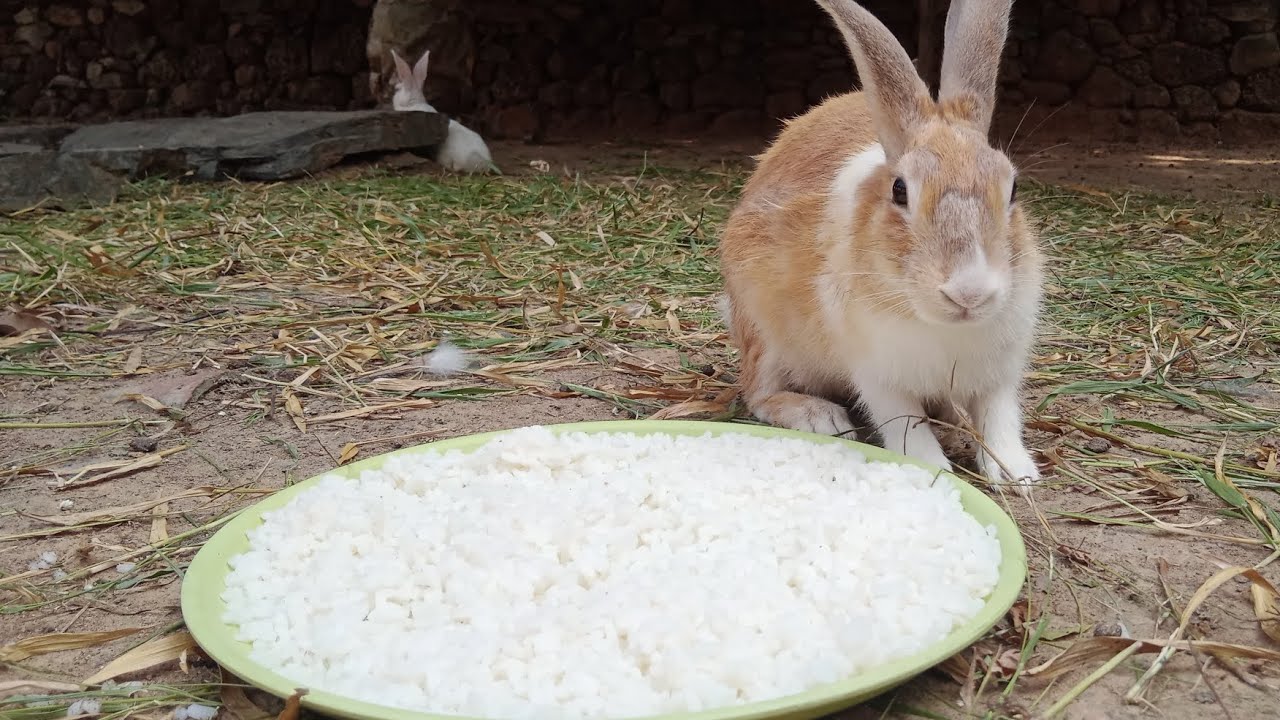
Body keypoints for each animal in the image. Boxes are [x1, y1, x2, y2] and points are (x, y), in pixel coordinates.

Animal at [718, 0, 1045, 489]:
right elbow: (906, 423)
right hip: (765, 334)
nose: (969, 292)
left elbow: (998, 417)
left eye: (1014, 189)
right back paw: (821, 417)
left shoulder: (998, 374)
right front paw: (930, 469)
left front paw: (1017, 474)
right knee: (758, 392)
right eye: (900, 191)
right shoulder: (878, 375)